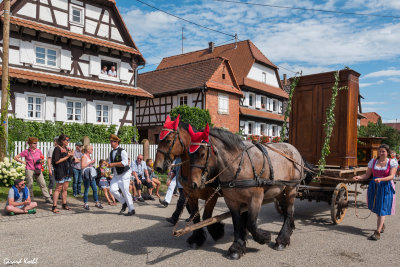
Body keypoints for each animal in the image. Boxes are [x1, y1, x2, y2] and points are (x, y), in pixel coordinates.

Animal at [154, 117, 225, 249]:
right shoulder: (191, 195)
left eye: (168, 140)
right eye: (158, 139)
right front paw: (197, 238)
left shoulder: (212, 195)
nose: (157, 167)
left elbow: (207, 217)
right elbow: (196, 216)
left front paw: (217, 231)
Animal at [188, 126, 310, 260]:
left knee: (288, 210)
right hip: (279, 189)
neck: (240, 165)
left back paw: (282, 240)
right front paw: (237, 247)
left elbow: (251, 223)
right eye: (189, 154)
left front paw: (264, 237)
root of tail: (294, 149)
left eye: (202, 154)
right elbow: (237, 223)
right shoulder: (231, 201)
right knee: (287, 209)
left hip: (291, 188)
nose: (193, 184)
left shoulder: (255, 198)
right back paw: (290, 229)